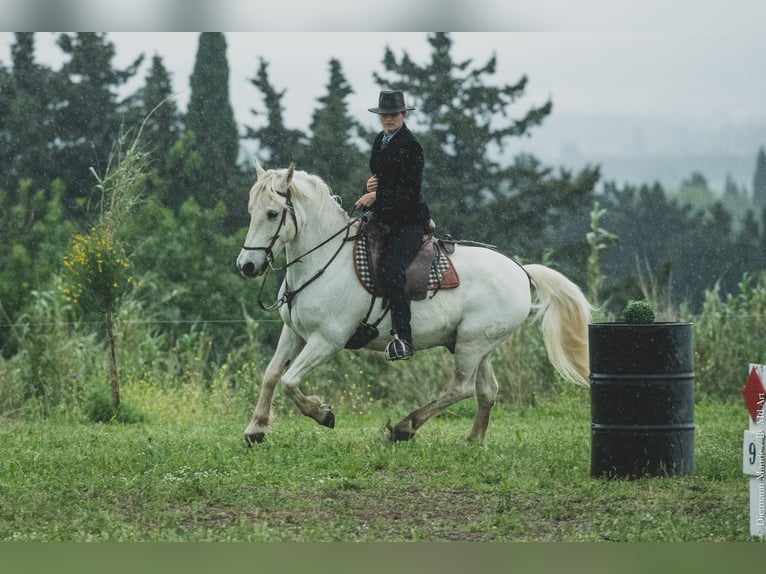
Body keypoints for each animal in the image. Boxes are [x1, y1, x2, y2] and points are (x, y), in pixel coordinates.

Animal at [236, 163, 592, 445]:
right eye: (250, 212)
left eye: (272, 214)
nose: (247, 266)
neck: (324, 260)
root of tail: (520, 270)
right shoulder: (294, 333)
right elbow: (271, 375)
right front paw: (255, 429)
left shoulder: (327, 340)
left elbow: (289, 381)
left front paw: (322, 413)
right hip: (480, 345)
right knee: (487, 390)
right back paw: (473, 439)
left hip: (471, 345)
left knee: (461, 388)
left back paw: (405, 427)